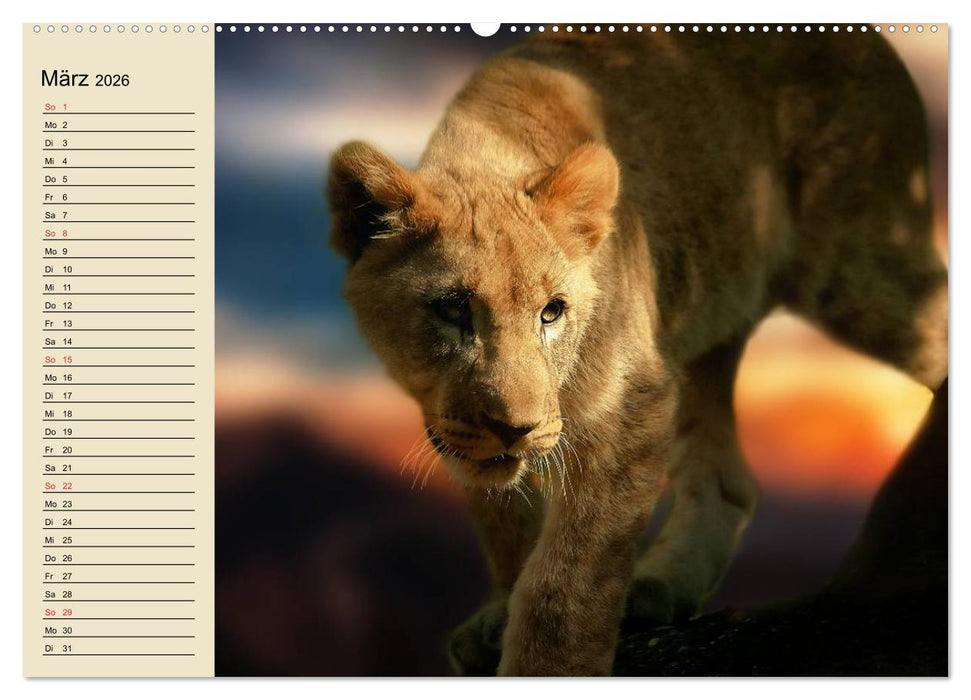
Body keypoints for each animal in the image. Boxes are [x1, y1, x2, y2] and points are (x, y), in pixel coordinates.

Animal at [326, 30, 947, 676]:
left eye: (552, 312)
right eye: (451, 309)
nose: (513, 429)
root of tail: (870, 37)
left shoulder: (630, 403)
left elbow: (568, 580)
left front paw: (546, 666)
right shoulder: (459, 427)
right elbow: (506, 524)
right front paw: (496, 619)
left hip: (860, 271)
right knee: (724, 474)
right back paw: (659, 588)